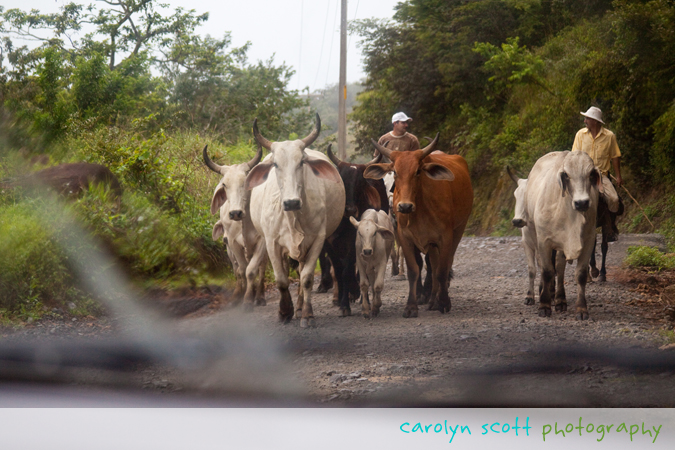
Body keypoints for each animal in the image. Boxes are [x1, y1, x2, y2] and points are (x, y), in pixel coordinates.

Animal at [205, 144, 268, 306]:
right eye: (224, 185)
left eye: (244, 182)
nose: (235, 213)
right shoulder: (232, 242)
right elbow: (242, 270)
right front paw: (241, 295)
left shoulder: (262, 242)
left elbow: (252, 270)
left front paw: (249, 298)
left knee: (262, 268)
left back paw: (260, 296)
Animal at [246, 114, 346, 328]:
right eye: (276, 164)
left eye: (301, 162)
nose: (291, 202)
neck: (292, 218)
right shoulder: (271, 242)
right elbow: (281, 280)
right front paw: (284, 312)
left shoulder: (317, 240)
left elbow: (306, 278)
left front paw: (307, 314)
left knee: (301, 272)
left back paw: (300, 307)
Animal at [324, 147, 388, 316]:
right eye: (343, 180)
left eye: (360, 182)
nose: (351, 210)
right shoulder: (329, 245)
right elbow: (338, 271)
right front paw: (342, 300)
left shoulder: (355, 244)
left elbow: (347, 271)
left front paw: (346, 303)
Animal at [368, 134, 472, 316]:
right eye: (396, 172)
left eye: (417, 171)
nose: (404, 206)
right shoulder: (405, 237)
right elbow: (414, 270)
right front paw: (412, 305)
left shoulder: (445, 237)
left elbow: (442, 270)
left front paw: (443, 302)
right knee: (433, 264)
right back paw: (432, 298)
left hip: (459, 229)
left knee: (443, 264)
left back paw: (437, 298)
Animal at [524, 151, 604, 320]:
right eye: (566, 175)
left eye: (590, 174)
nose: (582, 203)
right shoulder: (544, 242)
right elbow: (547, 272)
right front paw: (544, 305)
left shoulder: (588, 241)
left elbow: (580, 274)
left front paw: (581, 309)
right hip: (534, 236)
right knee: (545, 267)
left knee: (560, 269)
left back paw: (560, 300)